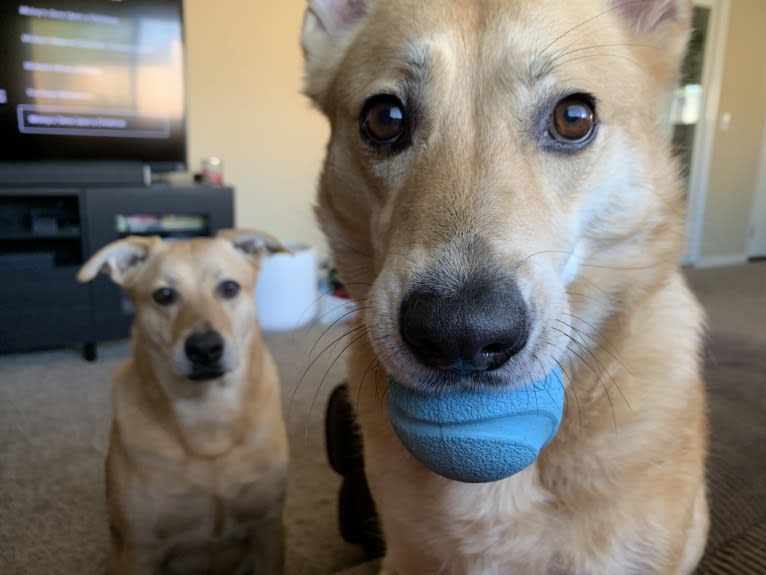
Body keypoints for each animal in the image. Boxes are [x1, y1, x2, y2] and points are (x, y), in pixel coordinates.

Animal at [79, 231, 292, 575]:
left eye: (229, 288)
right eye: (164, 295)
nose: (205, 348)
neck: (208, 416)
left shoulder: (268, 527)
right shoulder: (142, 548)